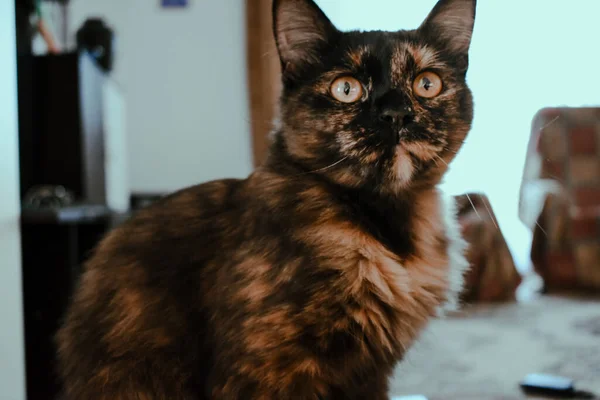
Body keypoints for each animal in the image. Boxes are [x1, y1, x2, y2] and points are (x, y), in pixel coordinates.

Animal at [57, 0, 478, 398]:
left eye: (427, 84)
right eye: (346, 89)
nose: (396, 114)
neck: (389, 226)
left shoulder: (370, 375)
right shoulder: (262, 369)